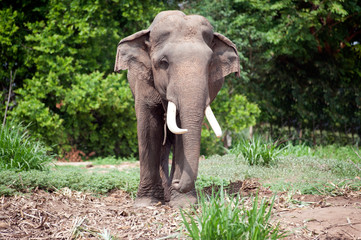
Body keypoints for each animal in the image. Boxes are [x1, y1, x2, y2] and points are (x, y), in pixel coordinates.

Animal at [114, 10, 239, 207]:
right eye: (163, 62)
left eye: (210, 63)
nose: (178, 183)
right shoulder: (143, 80)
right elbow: (149, 128)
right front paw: (146, 202)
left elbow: (182, 133)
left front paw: (183, 202)